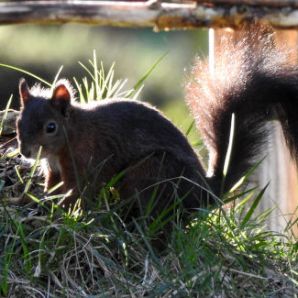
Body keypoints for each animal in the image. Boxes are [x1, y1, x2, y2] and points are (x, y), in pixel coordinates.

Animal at [16, 27, 298, 224]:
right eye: (19, 121)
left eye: (50, 127)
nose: (25, 152)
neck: (71, 135)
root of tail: (204, 192)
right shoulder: (54, 169)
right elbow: (53, 186)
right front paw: (35, 200)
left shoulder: (89, 159)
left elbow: (80, 191)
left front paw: (55, 209)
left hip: (152, 171)